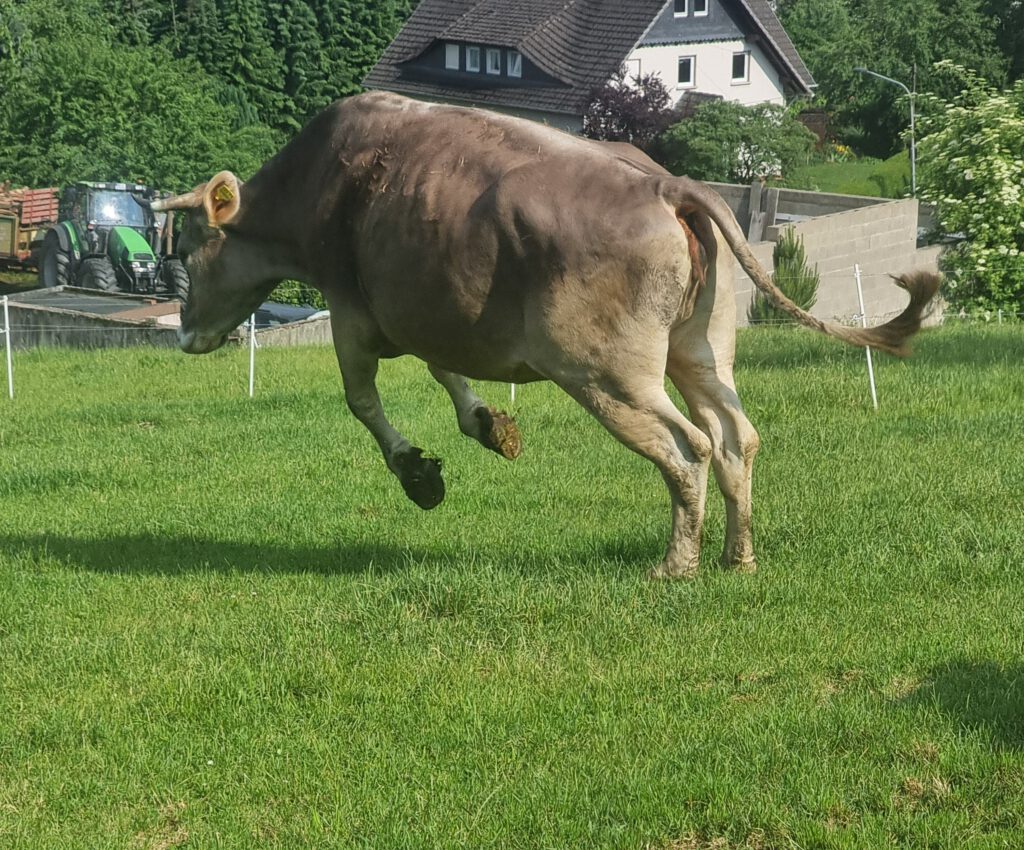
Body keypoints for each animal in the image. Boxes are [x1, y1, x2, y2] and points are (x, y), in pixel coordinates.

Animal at [148, 92, 939, 579]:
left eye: (185, 245)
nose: (184, 336)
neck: (325, 185)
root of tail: (666, 185)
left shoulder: (352, 311)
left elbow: (362, 400)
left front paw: (418, 473)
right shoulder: (430, 311)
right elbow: (447, 373)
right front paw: (488, 424)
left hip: (605, 373)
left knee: (689, 447)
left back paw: (676, 564)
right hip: (699, 351)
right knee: (736, 439)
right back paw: (735, 557)